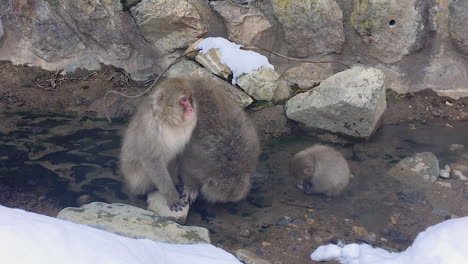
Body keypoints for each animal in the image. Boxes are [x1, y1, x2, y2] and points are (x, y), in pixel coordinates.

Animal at [119, 78, 197, 210]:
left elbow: (180, 155)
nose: (191, 109)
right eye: (183, 100)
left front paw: (187, 185)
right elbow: (152, 159)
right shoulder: (150, 129)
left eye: (189, 98)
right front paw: (171, 195)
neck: (167, 120)